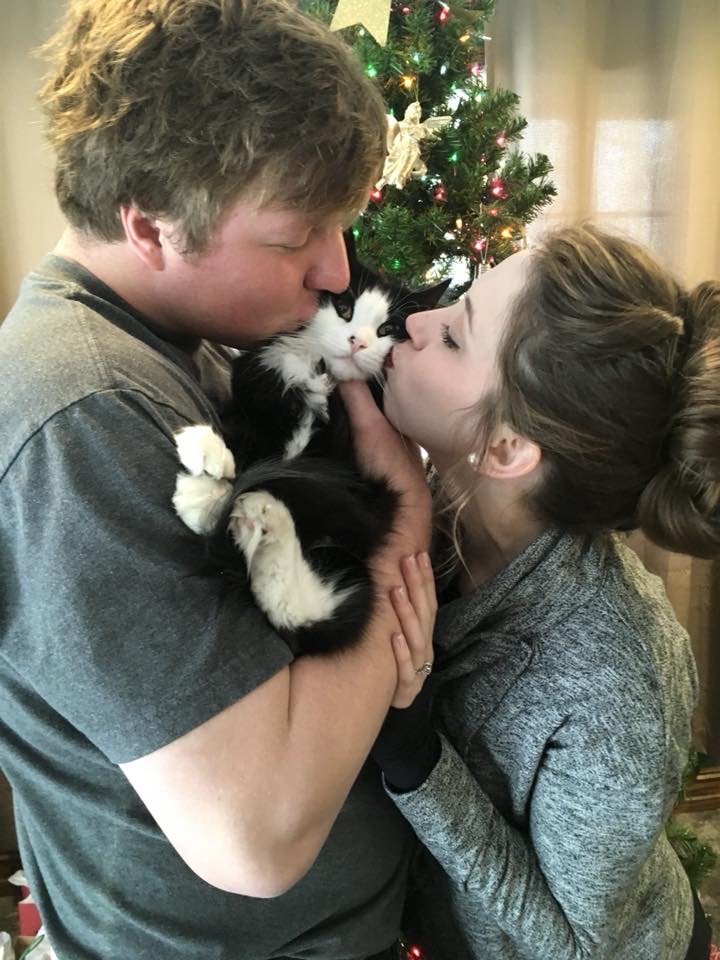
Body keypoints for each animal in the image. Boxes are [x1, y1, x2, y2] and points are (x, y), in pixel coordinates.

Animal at [173, 233, 444, 656]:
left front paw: (205, 493)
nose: (357, 342)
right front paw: (206, 468)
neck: (320, 380)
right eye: (344, 307)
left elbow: (297, 478)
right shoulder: (264, 392)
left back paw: (263, 518)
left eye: (388, 328)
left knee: (307, 616)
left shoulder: (350, 478)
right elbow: (246, 433)